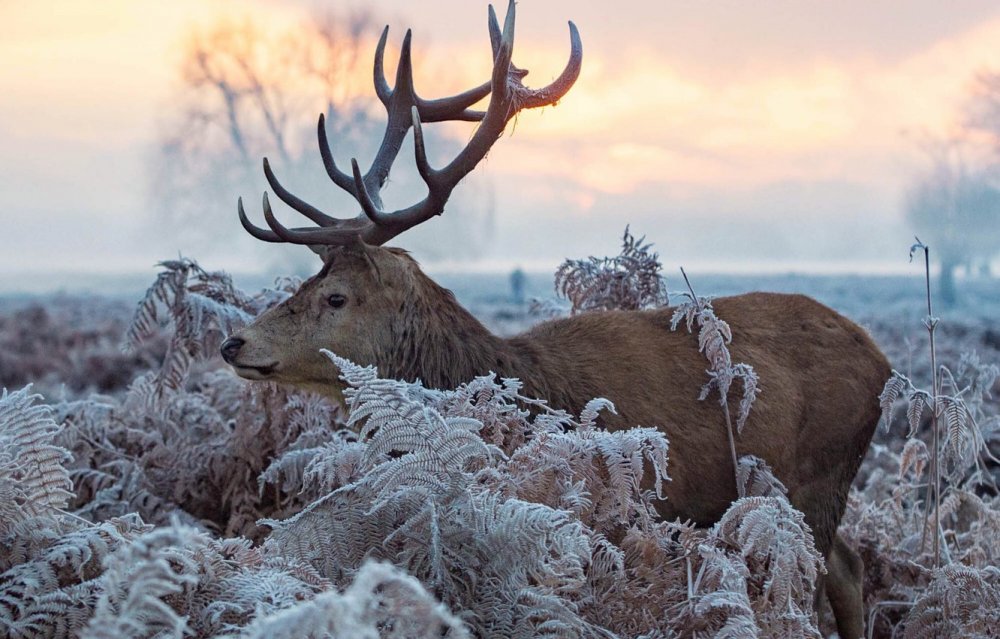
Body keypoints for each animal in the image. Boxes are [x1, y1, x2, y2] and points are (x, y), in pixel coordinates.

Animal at [221, 2, 892, 636]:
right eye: (308, 281)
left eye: (336, 297)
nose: (235, 343)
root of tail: (883, 362)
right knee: (848, 565)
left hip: (819, 473)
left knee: (815, 577)